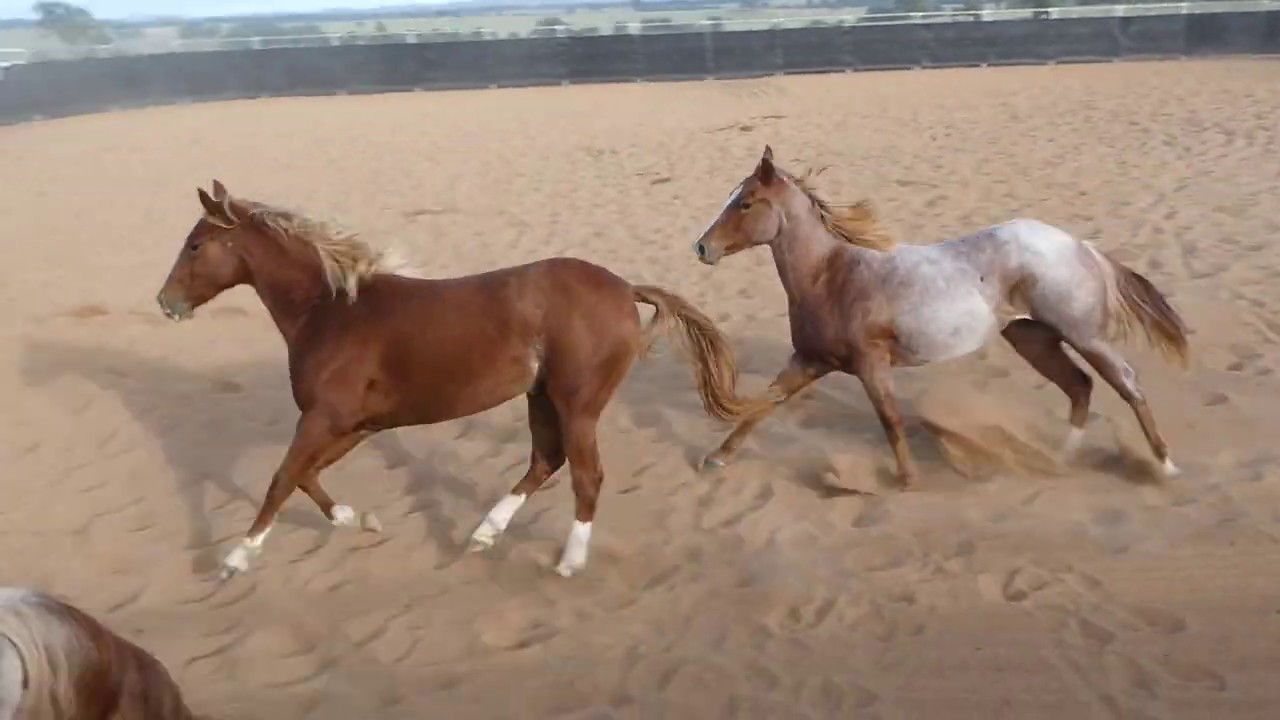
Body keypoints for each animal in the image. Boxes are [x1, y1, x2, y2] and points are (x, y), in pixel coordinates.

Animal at [155, 181, 768, 579]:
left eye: (195, 244)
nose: (165, 302)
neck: (329, 311)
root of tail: (624, 288)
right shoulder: (355, 423)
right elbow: (306, 474)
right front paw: (359, 519)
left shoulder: (325, 417)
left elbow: (283, 477)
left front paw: (235, 557)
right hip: (541, 398)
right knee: (545, 462)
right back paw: (483, 533)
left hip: (577, 402)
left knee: (585, 475)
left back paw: (569, 560)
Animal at [691, 145, 1190, 488]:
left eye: (746, 202)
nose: (701, 247)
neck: (830, 275)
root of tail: (1079, 245)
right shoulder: (810, 361)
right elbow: (763, 405)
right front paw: (715, 458)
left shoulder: (871, 364)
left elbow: (890, 419)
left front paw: (908, 480)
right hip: (1032, 338)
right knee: (1079, 385)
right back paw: (1058, 460)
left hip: (1083, 334)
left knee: (1125, 382)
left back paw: (1166, 465)